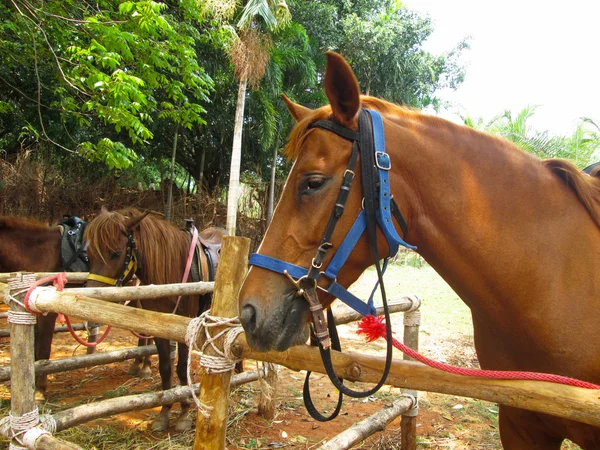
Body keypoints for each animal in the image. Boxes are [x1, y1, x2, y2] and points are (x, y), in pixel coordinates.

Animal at [83, 207, 221, 432]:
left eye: (115, 253)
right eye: (89, 255)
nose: (92, 303)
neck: (171, 271)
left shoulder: (185, 324)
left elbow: (181, 367)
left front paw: (184, 414)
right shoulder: (158, 325)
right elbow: (165, 367)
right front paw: (164, 413)